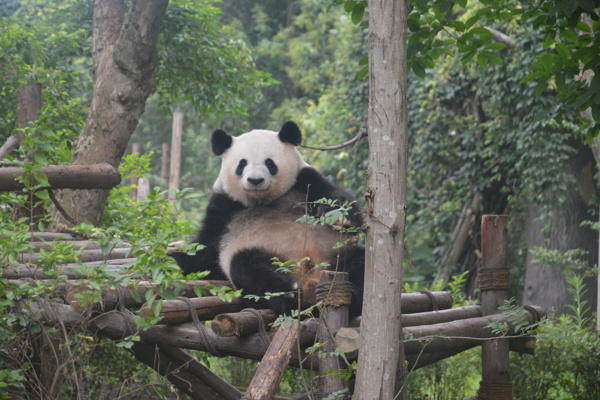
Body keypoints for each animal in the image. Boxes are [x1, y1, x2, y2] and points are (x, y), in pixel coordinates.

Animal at [171, 121, 364, 316]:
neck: (262, 199)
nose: (255, 180)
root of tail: (311, 283)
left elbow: (340, 201)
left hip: (334, 252)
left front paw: (339, 217)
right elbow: (204, 252)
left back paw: (350, 294)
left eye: (269, 162)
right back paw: (288, 293)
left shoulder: (303, 180)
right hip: (262, 252)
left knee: (358, 262)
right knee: (248, 266)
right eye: (242, 163)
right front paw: (174, 256)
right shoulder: (224, 205)